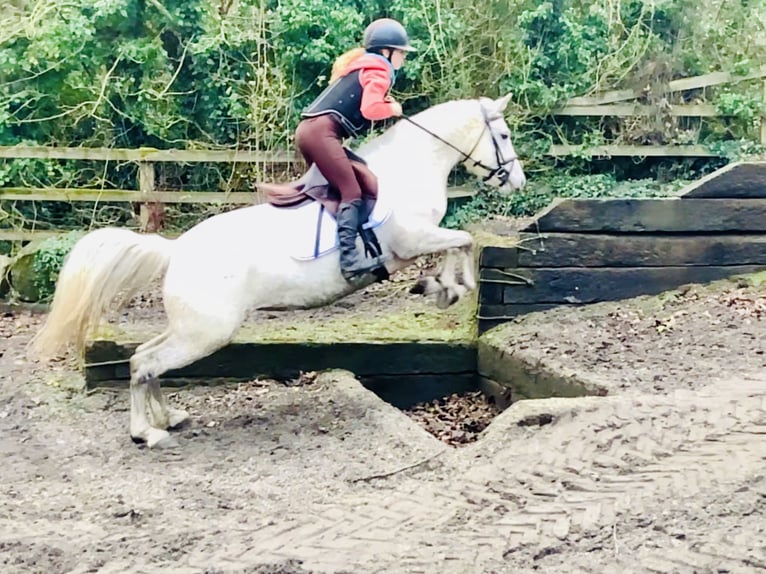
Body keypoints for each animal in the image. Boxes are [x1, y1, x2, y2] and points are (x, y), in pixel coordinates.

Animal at [30, 94, 528, 448]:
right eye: (503, 135)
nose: (518, 180)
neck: (410, 168)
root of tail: (176, 250)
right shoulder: (412, 240)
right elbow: (462, 239)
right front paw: (451, 287)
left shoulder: (420, 241)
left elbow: (458, 242)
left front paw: (442, 287)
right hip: (206, 332)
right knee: (147, 363)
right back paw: (147, 432)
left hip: (190, 328)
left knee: (142, 359)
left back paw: (167, 417)